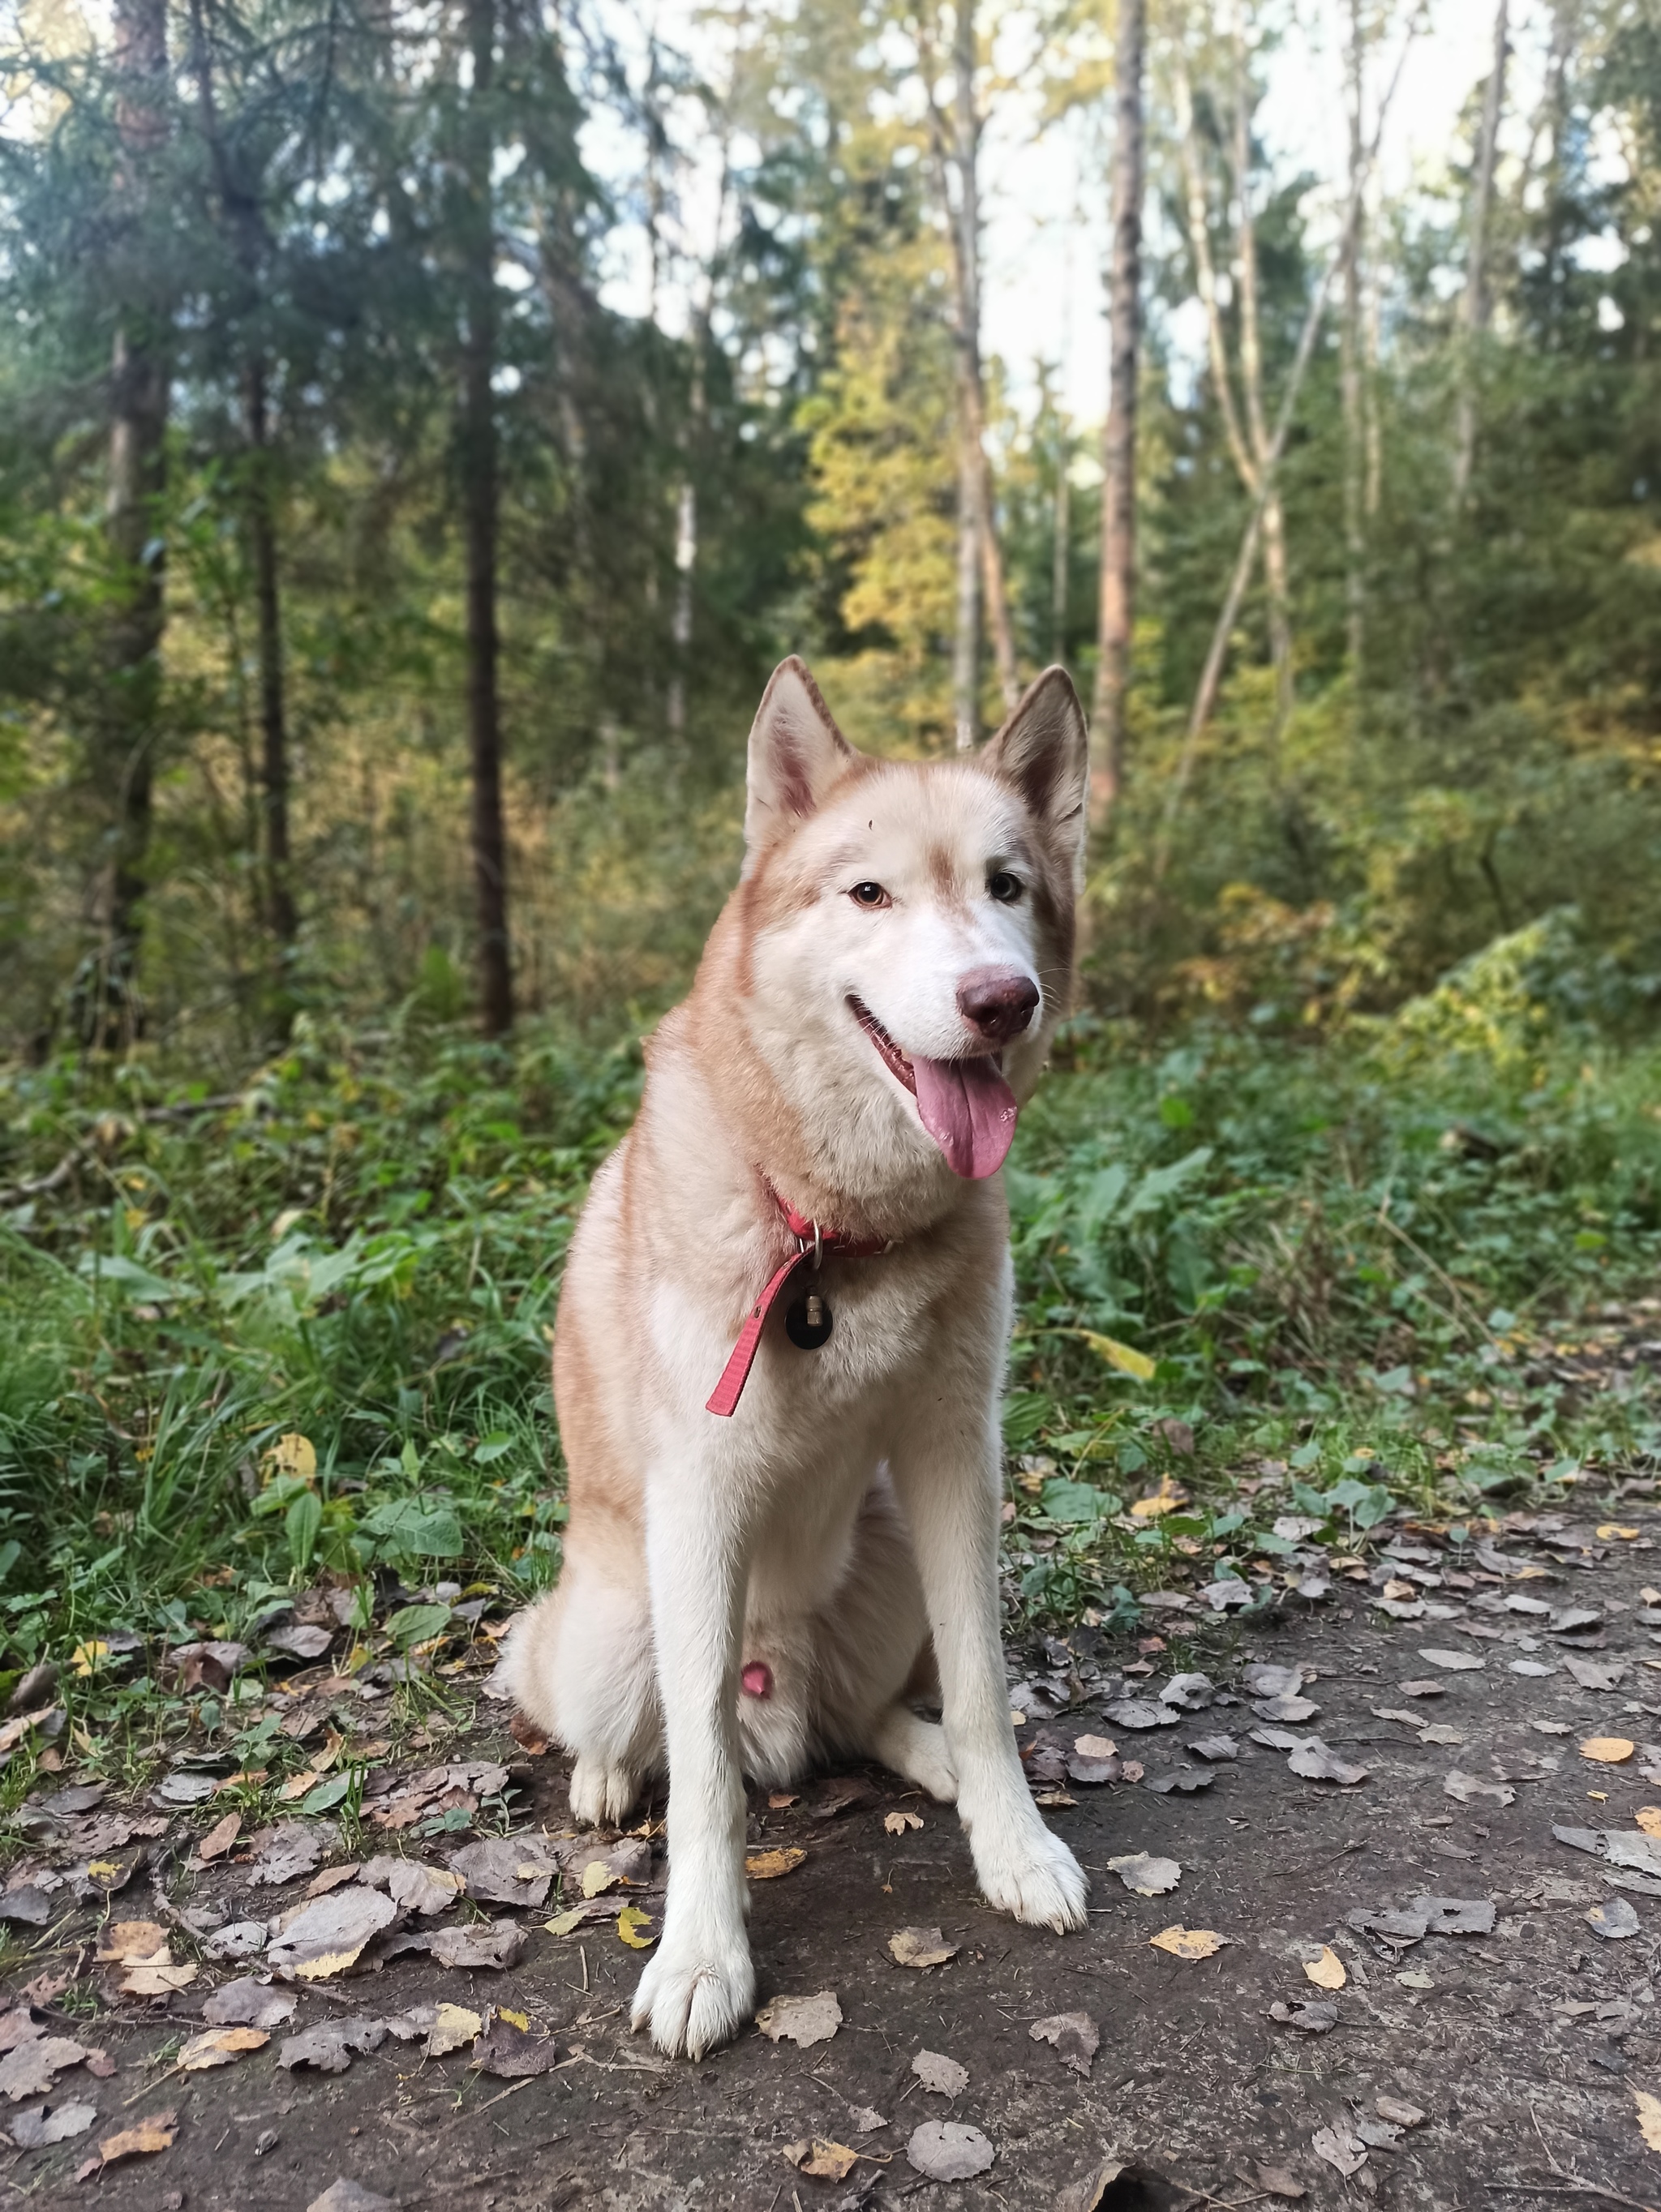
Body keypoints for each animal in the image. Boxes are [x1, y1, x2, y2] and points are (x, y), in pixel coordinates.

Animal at [504, 654, 1092, 2052]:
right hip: (610, 1624)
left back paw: (924, 1755)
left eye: (1008, 887)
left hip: (887, 1567)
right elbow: (707, 1780)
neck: (832, 1225)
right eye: (868, 892)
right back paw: (607, 1775)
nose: (1003, 1000)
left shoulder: (954, 1458)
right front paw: (703, 1959)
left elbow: (984, 1686)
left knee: (861, 1715)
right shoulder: (702, 1501)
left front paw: (1015, 1844)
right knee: (647, 1728)